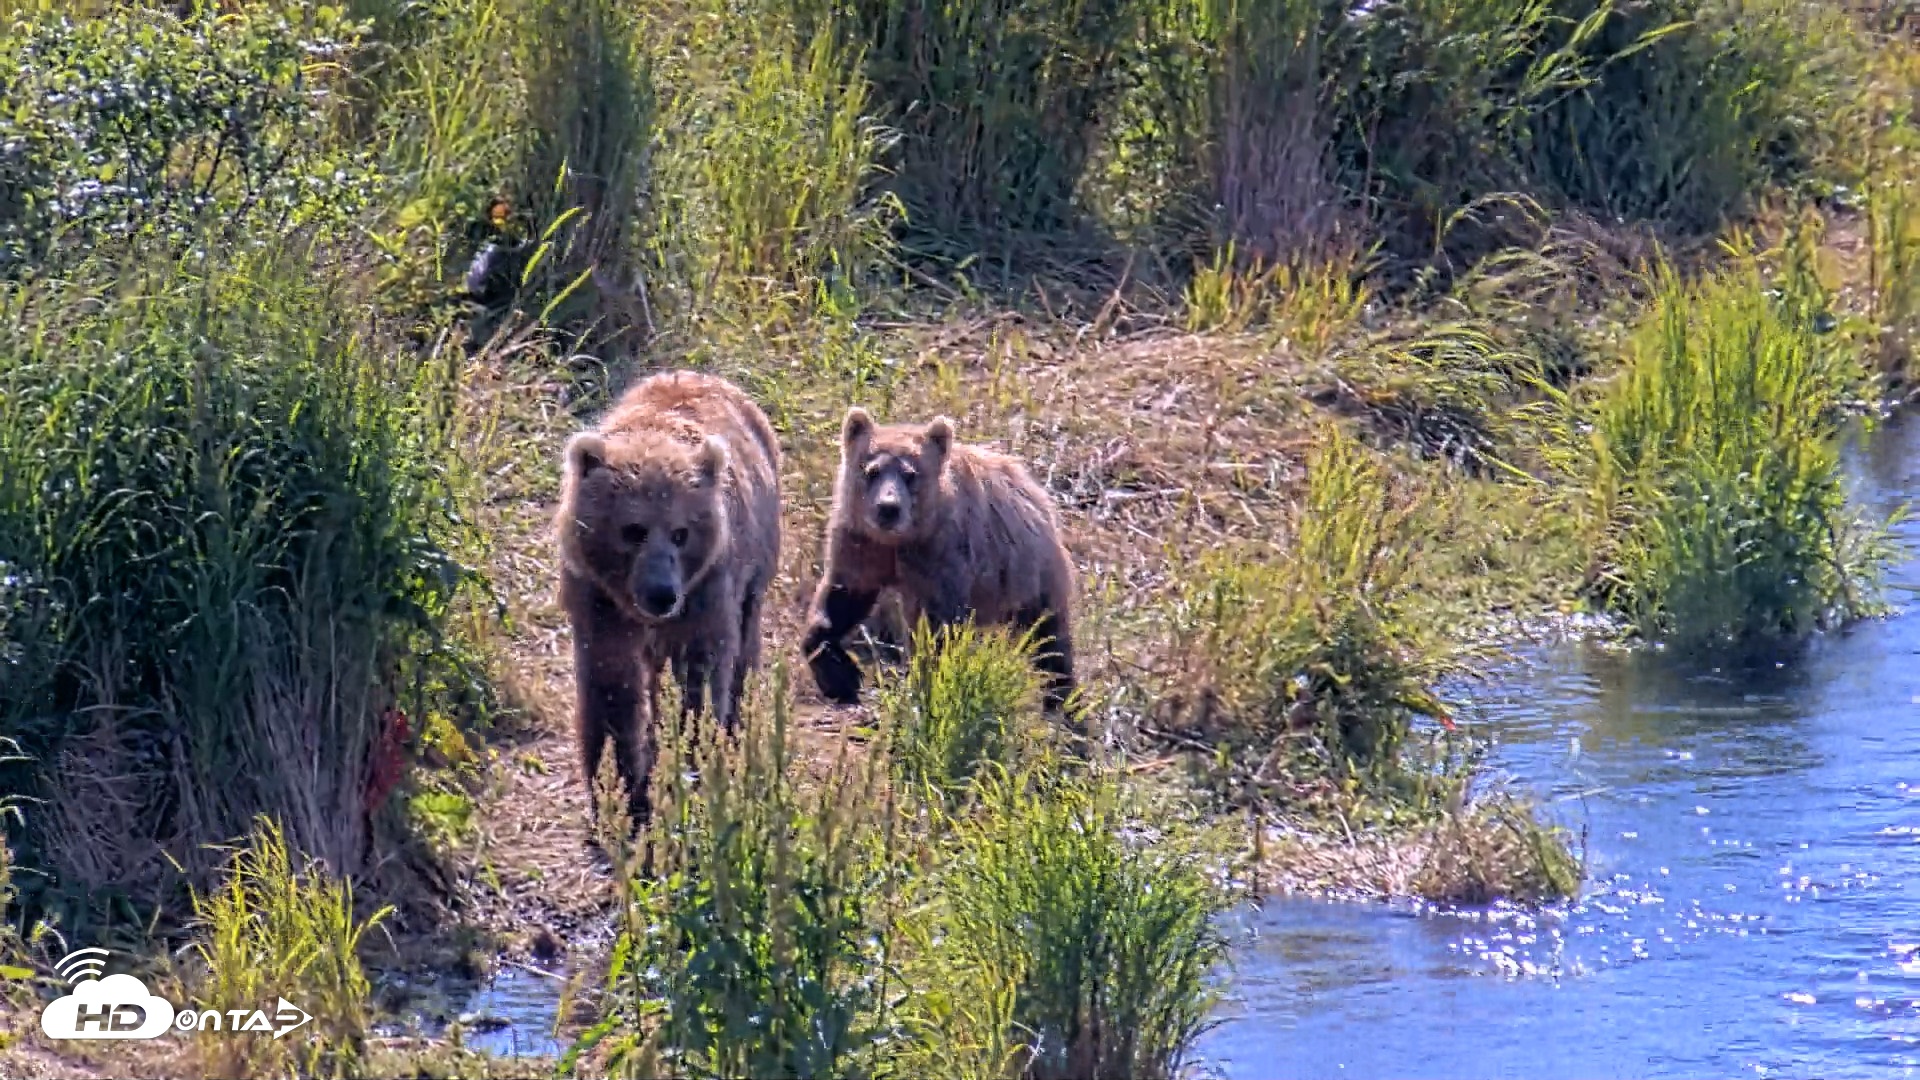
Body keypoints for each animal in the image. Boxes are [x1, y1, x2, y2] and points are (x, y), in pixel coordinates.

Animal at [554, 370, 782, 825]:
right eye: (633, 530)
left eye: (681, 533)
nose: (662, 594)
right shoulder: (597, 598)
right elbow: (610, 685)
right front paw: (618, 786)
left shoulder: (705, 590)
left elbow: (698, 677)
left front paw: (688, 763)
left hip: (757, 560)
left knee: (744, 644)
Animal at [801, 407, 1077, 713]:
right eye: (871, 470)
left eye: (910, 474)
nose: (888, 508)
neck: (900, 541)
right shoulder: (861, 543)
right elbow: (841, 599)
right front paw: (840, 675)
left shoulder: (941, 555)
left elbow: (937, 629)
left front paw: (928, 682)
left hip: (1026, 571)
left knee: (1048, 636)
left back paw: (1061, 697)